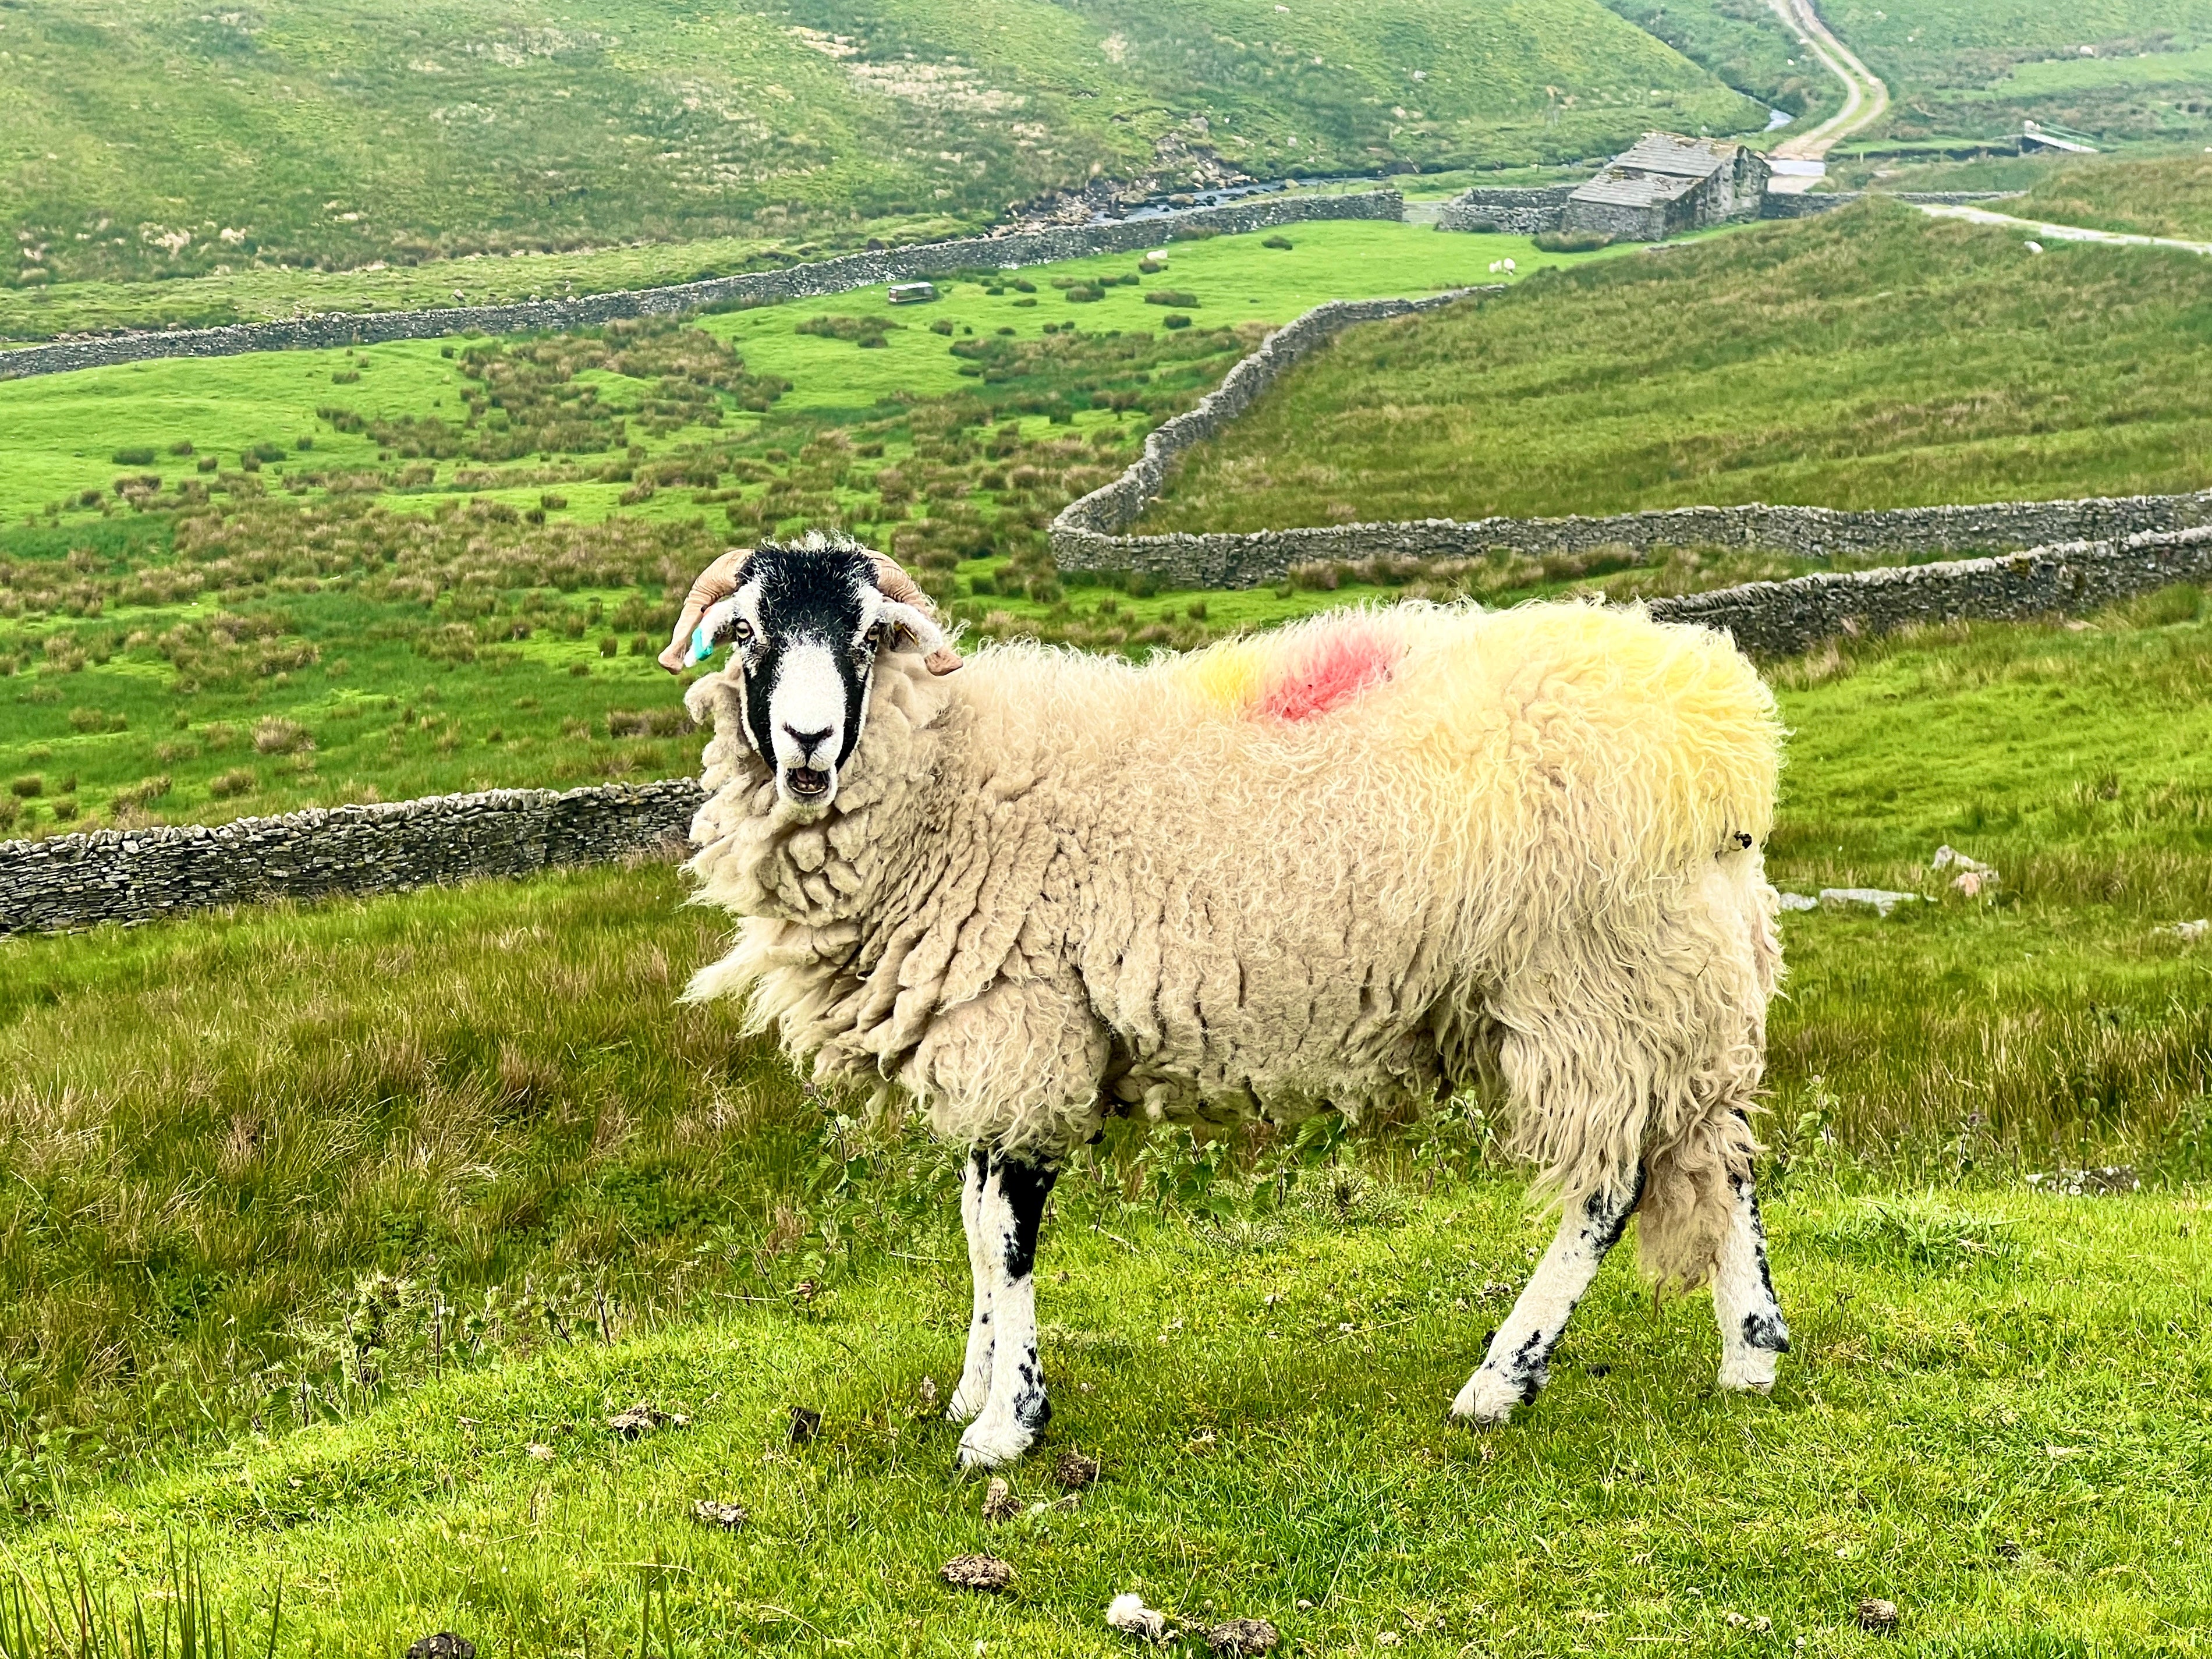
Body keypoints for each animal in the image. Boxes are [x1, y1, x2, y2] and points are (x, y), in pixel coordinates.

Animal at [664, 533, 1787, 1469]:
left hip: (1593, 983)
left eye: (866, 634)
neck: (947, 777)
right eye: (749, 632)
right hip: (1684, 980)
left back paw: (1501, 1381)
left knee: (1607, 1188)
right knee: (1723, 1151)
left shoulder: (1031, 1031)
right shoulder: (991, 1038)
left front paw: (1007, 1425)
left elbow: (1008, 1235)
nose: (808, 743)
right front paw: (972, 1391)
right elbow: (976, 1226)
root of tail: (1719, 723)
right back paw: (1752, 1355)